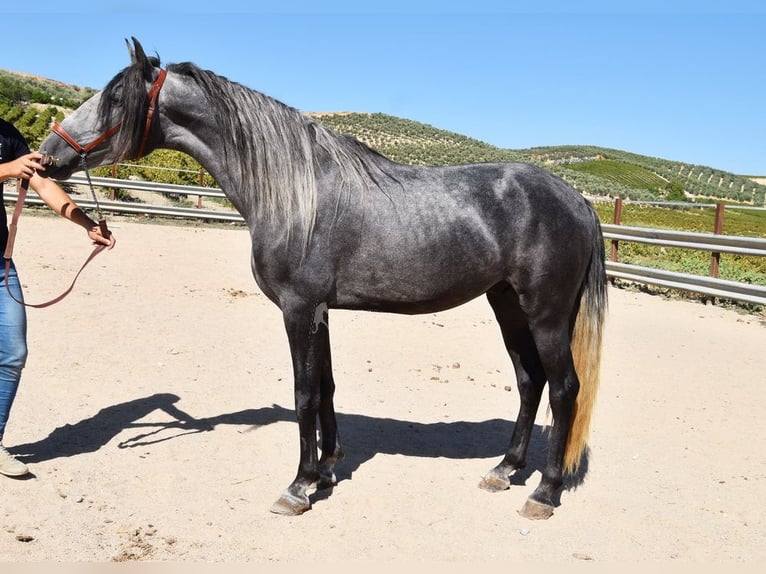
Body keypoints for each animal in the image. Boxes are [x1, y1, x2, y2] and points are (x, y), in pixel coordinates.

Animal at [40, 37, 608, 520]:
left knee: (564, 389)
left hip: (545, 314)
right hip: (507, 303)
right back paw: (504, 470)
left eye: (116, 98)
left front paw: (298, 486)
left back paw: (544, 492)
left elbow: (304, 394)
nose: (48, 155)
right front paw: (328, 471)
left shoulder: (299, 308)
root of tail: (577, 200)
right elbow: (328, 386)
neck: (296, 192)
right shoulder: (321, 311)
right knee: (530, 381)